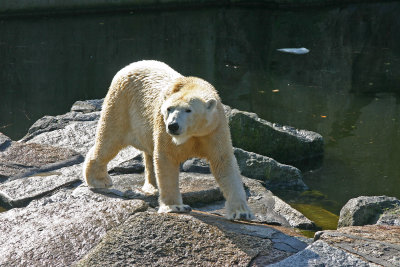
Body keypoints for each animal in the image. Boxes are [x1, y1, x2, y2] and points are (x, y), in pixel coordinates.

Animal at [83, 61, 253, 222]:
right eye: (169, 109)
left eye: (188, 110)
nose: (173, 125)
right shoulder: (164, 128)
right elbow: (166, 159)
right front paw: (175, 207)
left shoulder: (214, 129)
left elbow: (223, 163)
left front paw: (241, 213)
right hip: (121, 104)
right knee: (109, 140)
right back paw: (99, 180)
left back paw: (151, 187)